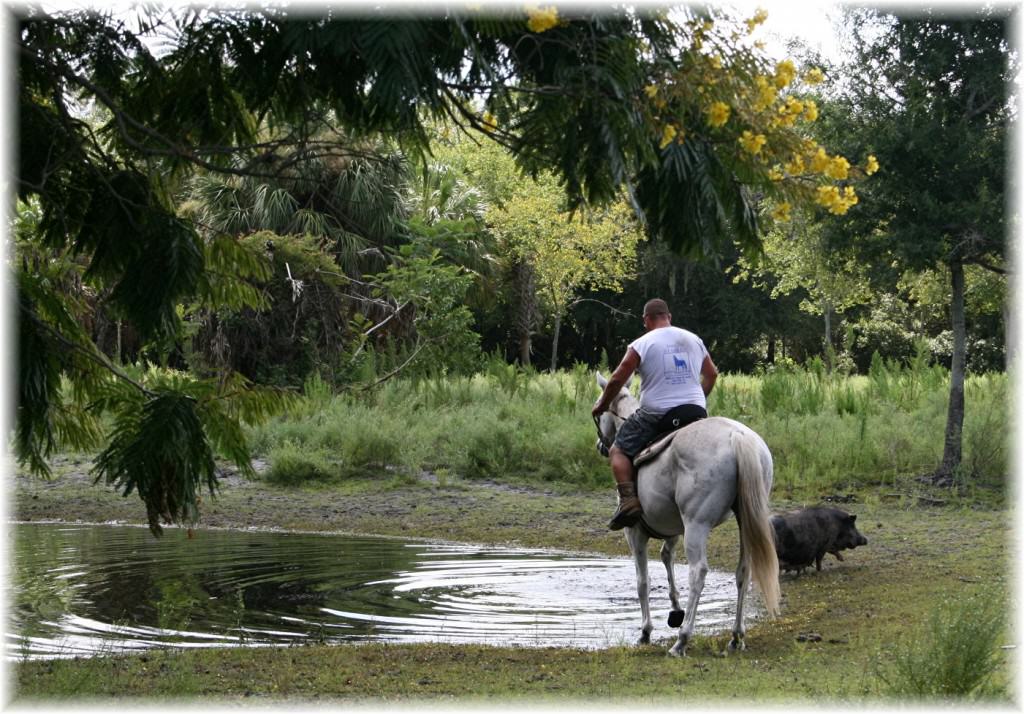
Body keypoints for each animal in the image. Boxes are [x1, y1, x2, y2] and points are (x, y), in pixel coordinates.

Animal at [598, 372, 778, 655]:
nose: (601, 445)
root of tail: (738, 437)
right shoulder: (672, 529)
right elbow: (666, 558)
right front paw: (674, 610)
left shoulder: (634, 532)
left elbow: (643, 581)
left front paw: (646, 631)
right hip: (745, 521)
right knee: (743, 570)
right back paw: (736, 636)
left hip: (697, 524)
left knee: (698, 573)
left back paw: (682, 640)